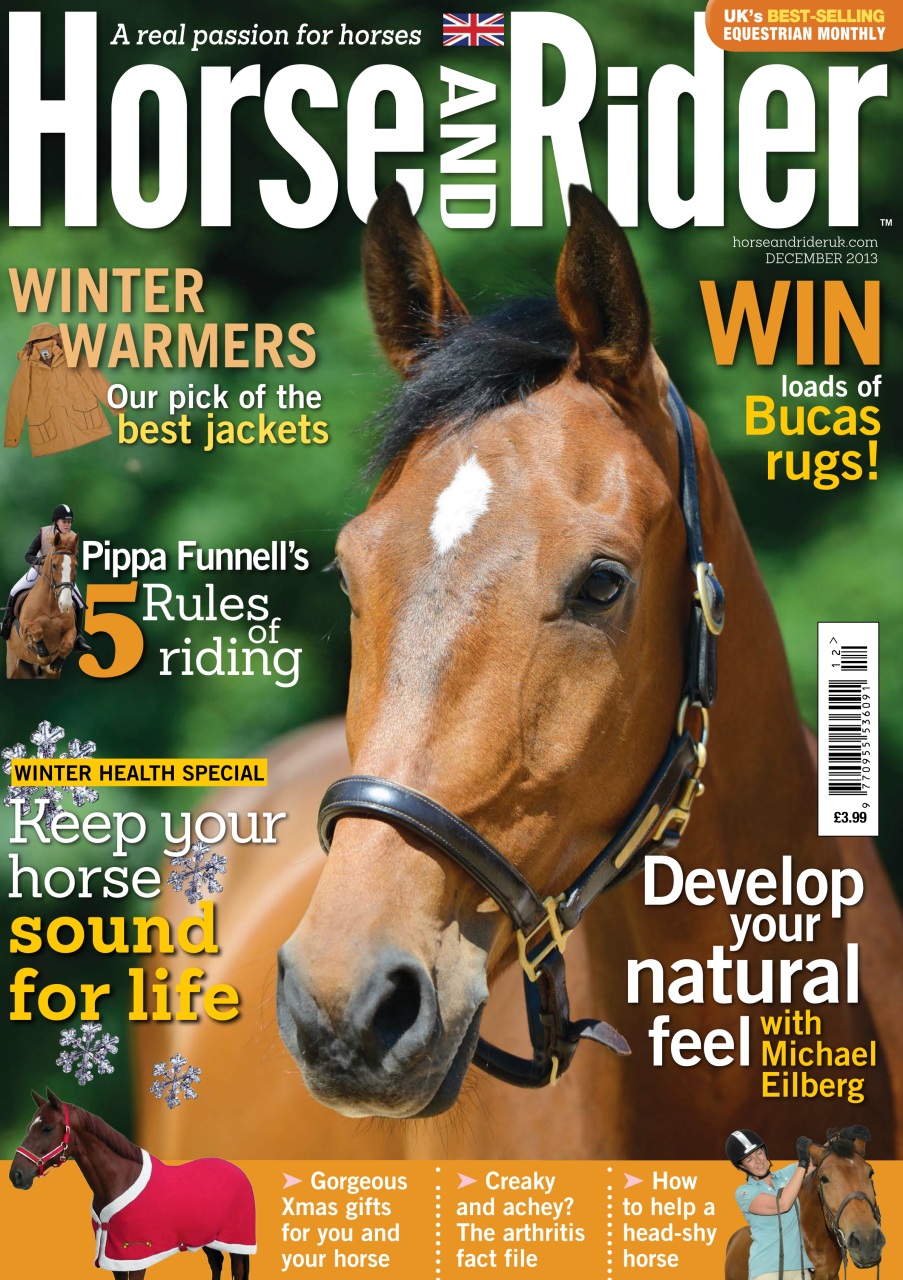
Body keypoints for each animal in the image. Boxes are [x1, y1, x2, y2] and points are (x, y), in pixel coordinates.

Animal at [9, 1089, 255, 1277]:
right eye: (29, 1127)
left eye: (47, 1128)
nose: (16, 1175)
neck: (120, 1180)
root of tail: (238, 1171)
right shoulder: (113, 1256)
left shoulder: (136, 1255)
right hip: (207, 1239)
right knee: (216, 1264)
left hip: (237, 1243)